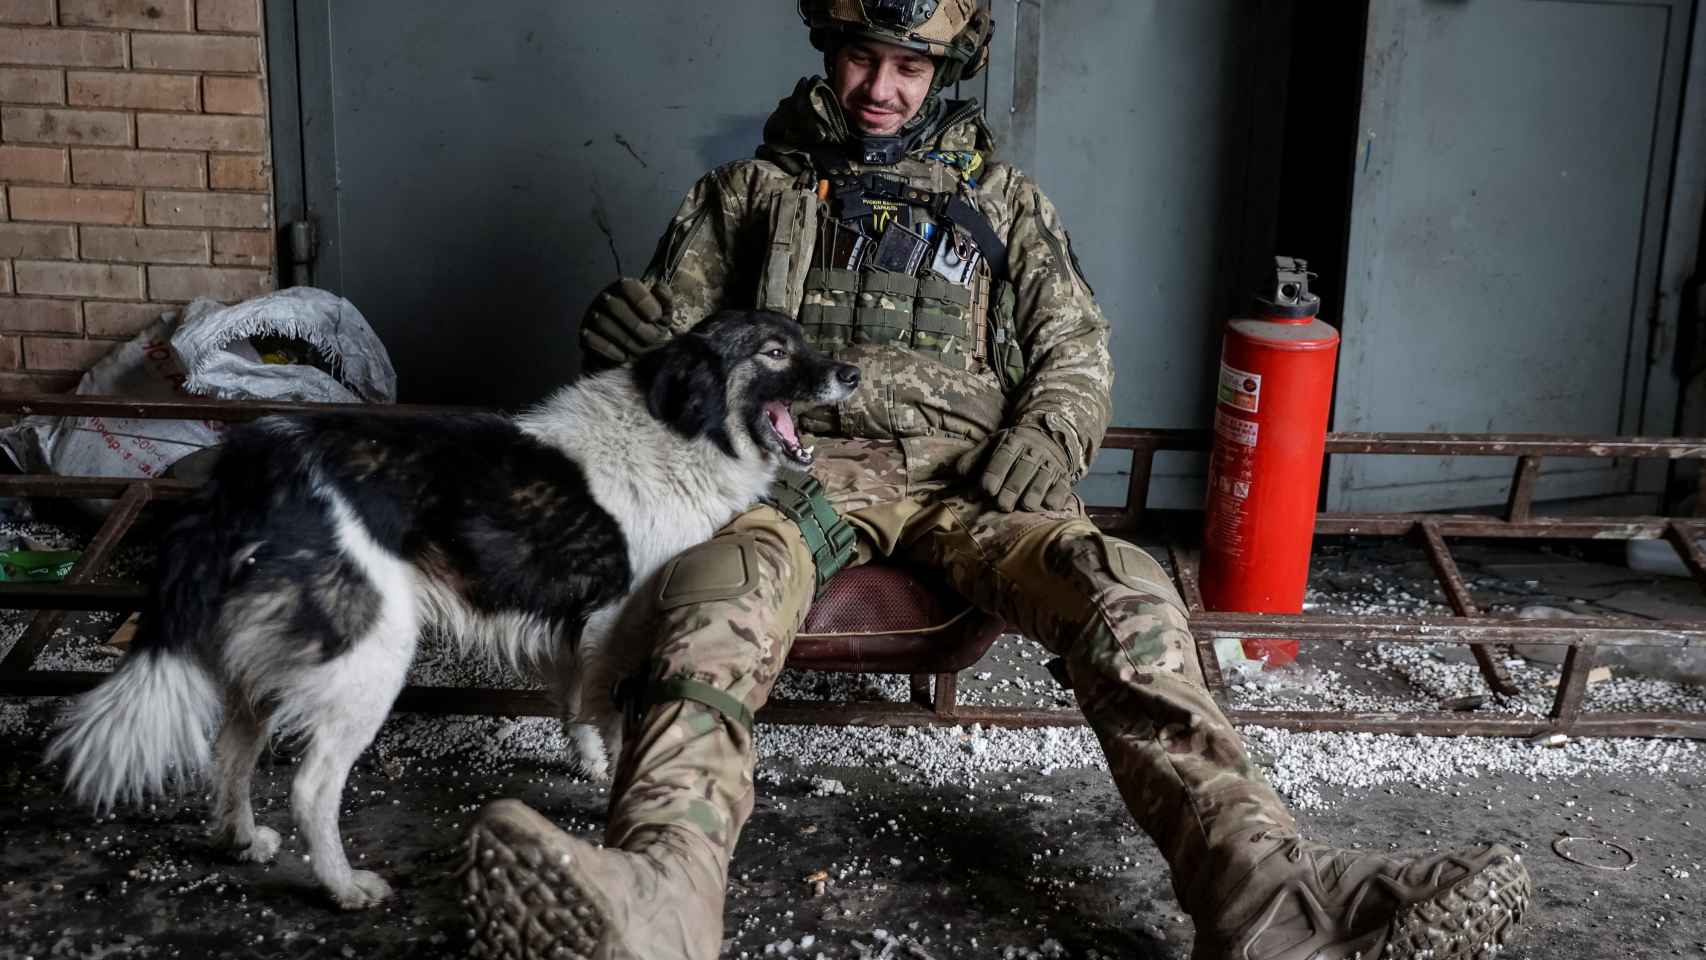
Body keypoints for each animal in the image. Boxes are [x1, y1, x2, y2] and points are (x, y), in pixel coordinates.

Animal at [46, 308, 859, 907]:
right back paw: (345, 887)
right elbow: (610, 715)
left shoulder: (576, 632)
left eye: (802, 338)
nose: (854, 371)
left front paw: (589, 763)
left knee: (231, 753)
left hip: (267, 662)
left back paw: (241, 840)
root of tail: (256, 468)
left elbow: (575, 706)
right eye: (777, 351)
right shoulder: (615, 622)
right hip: (372, 658)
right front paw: (614, 784)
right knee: (310, 787)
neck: (680, 427)